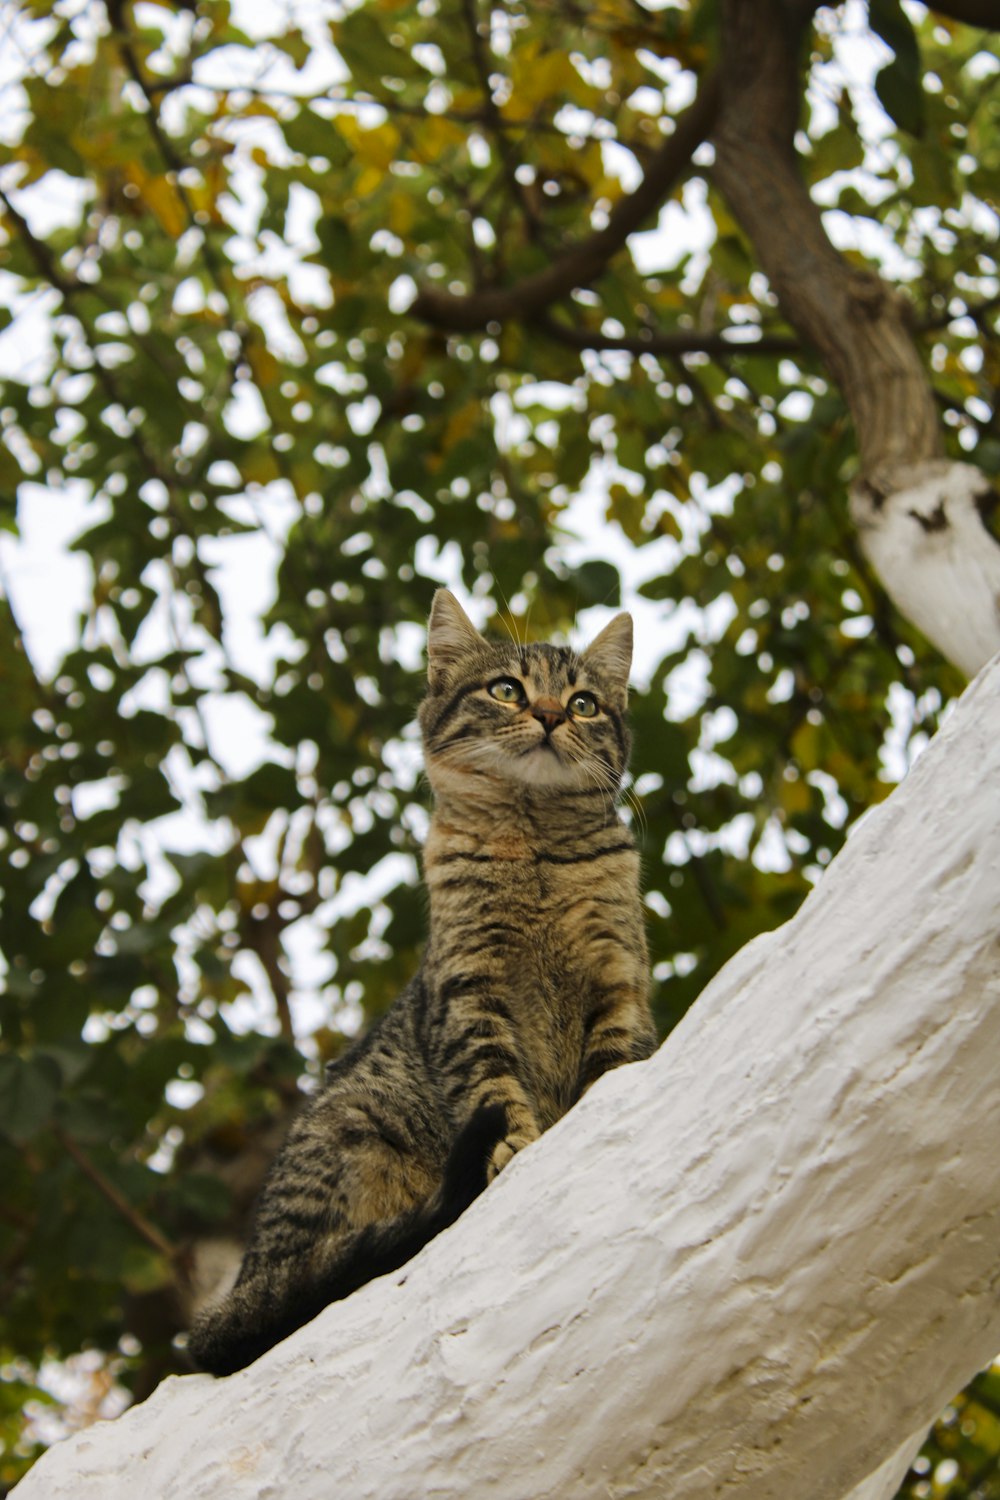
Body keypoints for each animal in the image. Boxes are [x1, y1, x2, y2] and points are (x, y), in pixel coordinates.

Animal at [187, 585, 656, 1374]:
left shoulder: (618, 981)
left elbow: (615, 1066)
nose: (551, 714)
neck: (533, 849)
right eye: (507, 691)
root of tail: (245, 1283)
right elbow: (494, 1089)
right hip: (358, 1135)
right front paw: (515, 1148)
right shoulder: (471, 996)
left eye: (585, 702)